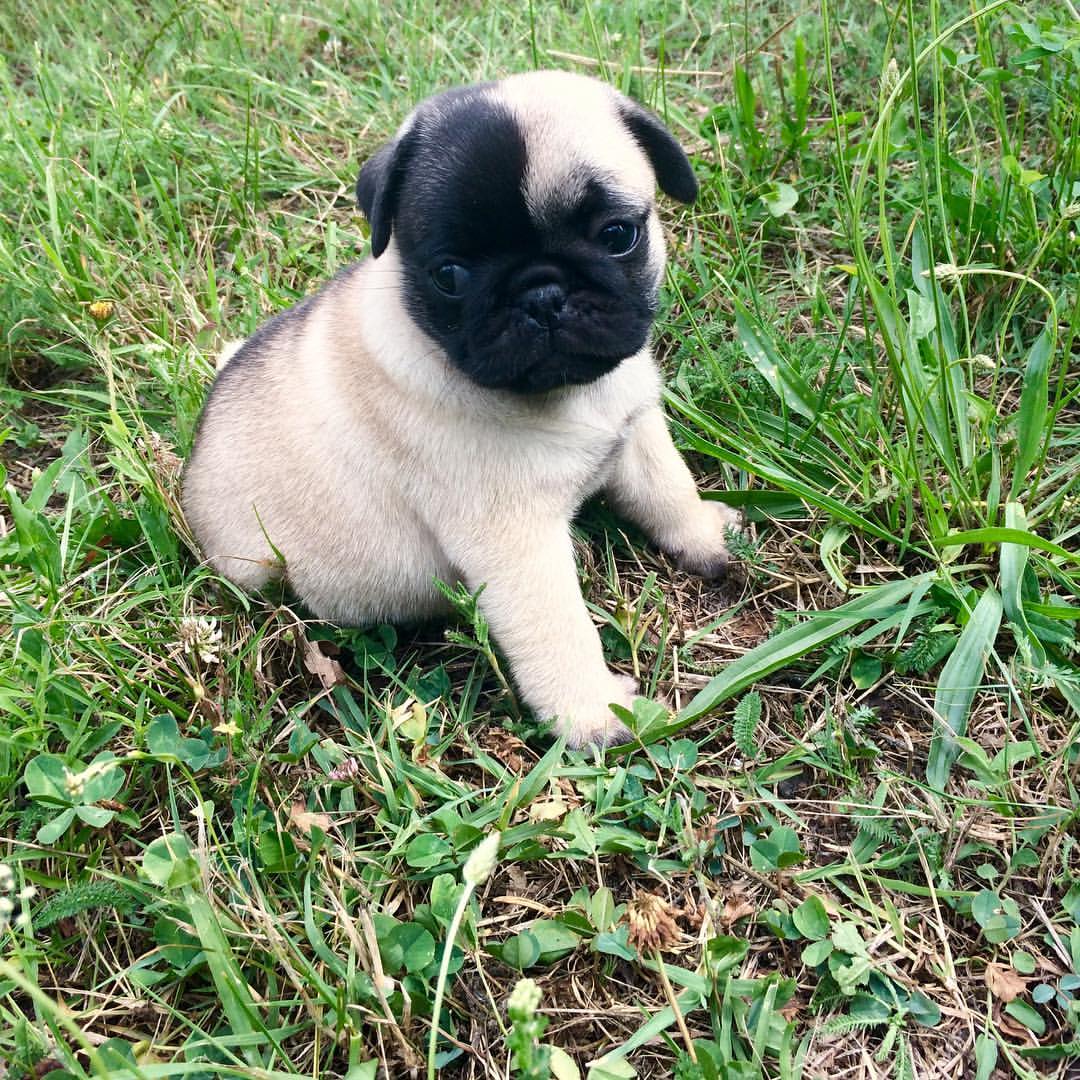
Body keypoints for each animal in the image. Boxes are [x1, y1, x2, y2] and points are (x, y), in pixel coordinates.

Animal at [187, 71, 743, 747]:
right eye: (449, 275)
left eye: (618, 237)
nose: (543, 294)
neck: (569, 397)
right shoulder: (514, 541)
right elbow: (557, 629)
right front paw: (594, 716)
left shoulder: (635, 429)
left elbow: (668, 490)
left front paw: (703, 536)